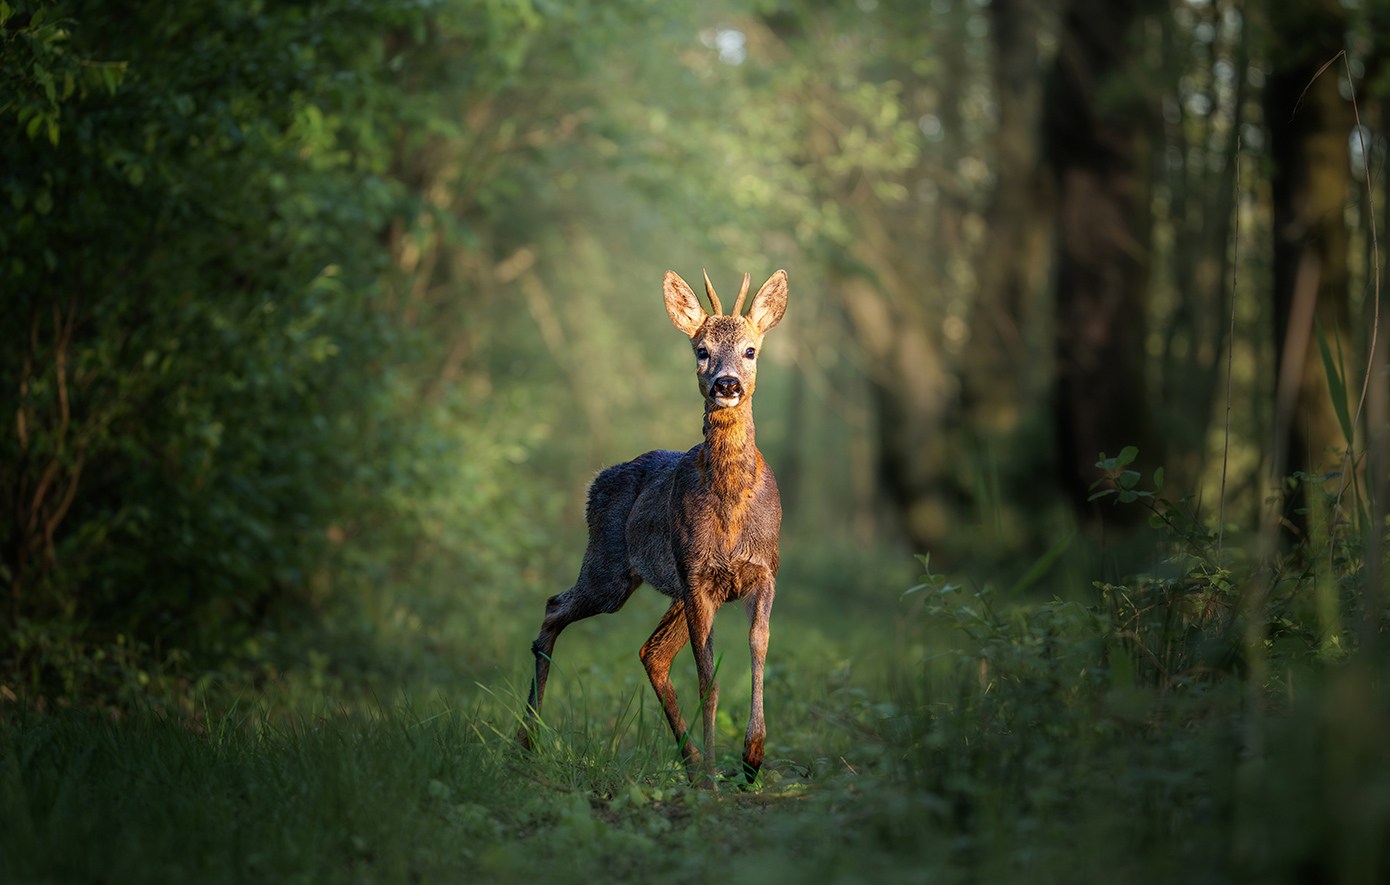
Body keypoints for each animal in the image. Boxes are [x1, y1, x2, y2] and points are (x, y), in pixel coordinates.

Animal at [517, 268, 789, 778]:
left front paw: (752, 757)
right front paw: (720, 774)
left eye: (751, 350)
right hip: (611, 569)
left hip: (665, 588)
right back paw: (525, 742)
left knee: (652, 652)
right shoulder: (697, 575)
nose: (726, 384)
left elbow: (759, 647)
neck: (732, 507)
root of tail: (596, 481)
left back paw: (692, 761)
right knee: (554, 607)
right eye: (701, 350)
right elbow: (708, 679)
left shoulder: (764, 570)